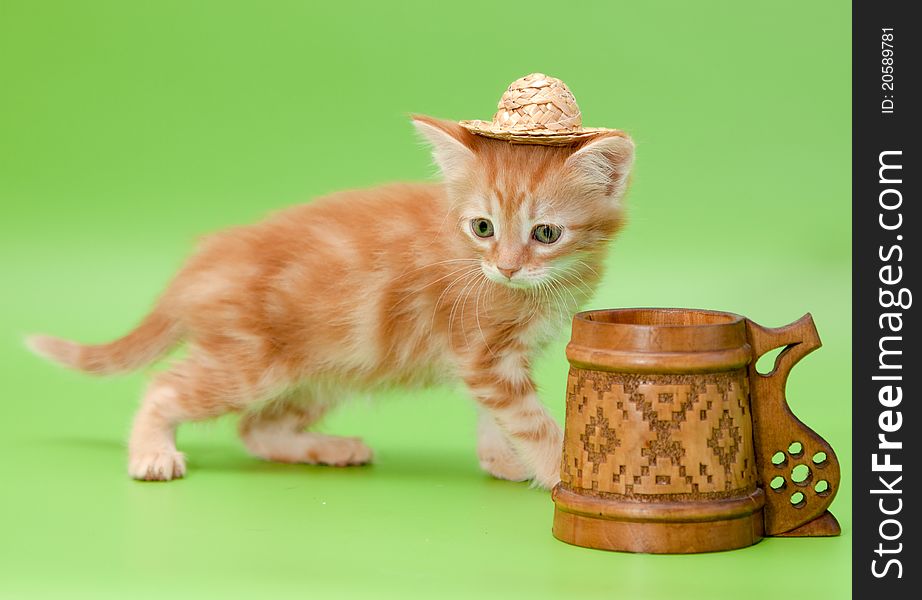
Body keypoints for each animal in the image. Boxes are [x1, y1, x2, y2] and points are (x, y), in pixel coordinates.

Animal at [28, 116, 632, 488]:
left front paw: (502, 461)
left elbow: (497, 416)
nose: (506, 266)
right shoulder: (484, 353)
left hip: (325, 370)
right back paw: (151, 452)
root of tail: (200, 262)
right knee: (164, 389)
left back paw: (330, 449)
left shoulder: (492, 362)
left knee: (256, 429)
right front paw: (559, 472)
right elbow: (530, 420)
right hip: (251, 364)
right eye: (482, 227)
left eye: (546, 234)